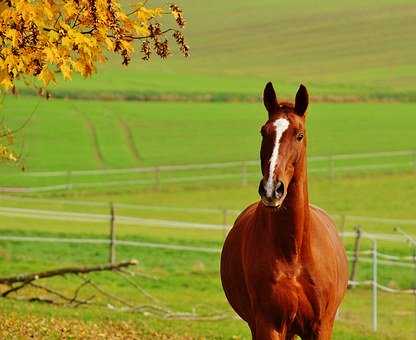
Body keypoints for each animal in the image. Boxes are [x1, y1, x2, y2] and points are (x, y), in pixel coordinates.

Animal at [221, 83, 348, 340]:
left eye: (299, 135)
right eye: (264, 132)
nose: (272, 189)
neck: (293, 254)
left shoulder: (320, 327)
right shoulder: (268, 325)